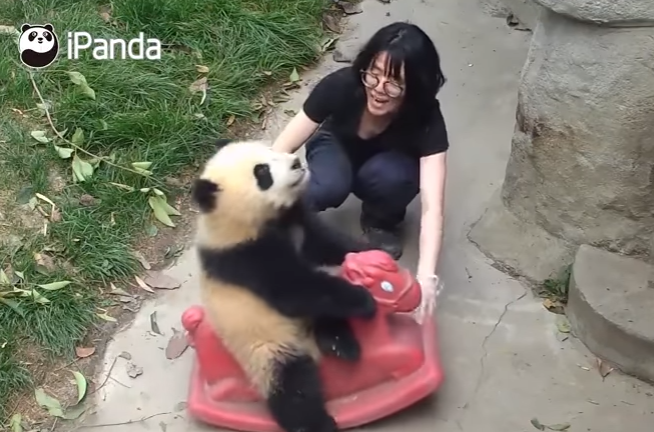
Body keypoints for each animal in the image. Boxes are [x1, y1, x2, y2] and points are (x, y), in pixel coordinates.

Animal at [191, 139, 377, 432]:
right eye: (262, 173)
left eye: (272, 150)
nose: (296, 162)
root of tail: (306, 340)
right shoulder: (242, 257)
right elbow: (292, 288)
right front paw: (363, 299)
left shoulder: (300, 224)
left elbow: (327, 246)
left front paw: (372, 252)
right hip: (266, 346)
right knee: (293, 388)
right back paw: (318, 423)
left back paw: (340, 343)